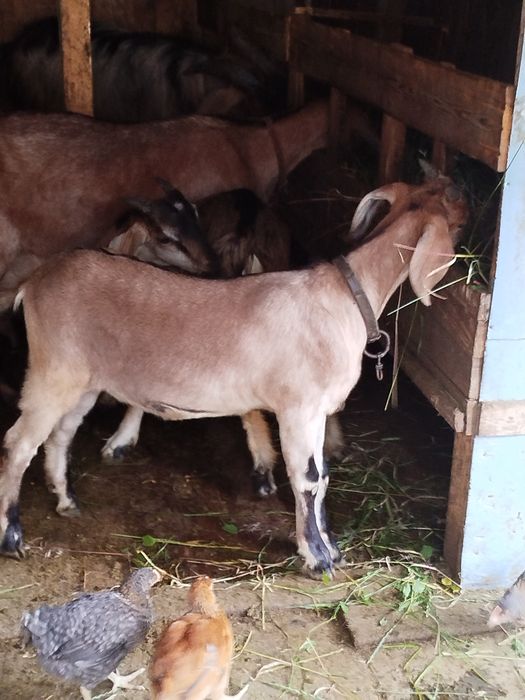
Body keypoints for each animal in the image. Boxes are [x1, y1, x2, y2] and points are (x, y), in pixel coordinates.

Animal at [0, 173, 468, 575]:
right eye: (455, 211)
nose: (469, 200)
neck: (347, 297)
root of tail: (34, 282)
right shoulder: (298, 408)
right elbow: (306, 478)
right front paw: (316, 558)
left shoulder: (317, 411)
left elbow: (323, 476)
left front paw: (331, 547)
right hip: (51, 369)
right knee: (17, 444)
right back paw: (12, 536)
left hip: (83, 379)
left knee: (60, 435)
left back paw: (66, 501)